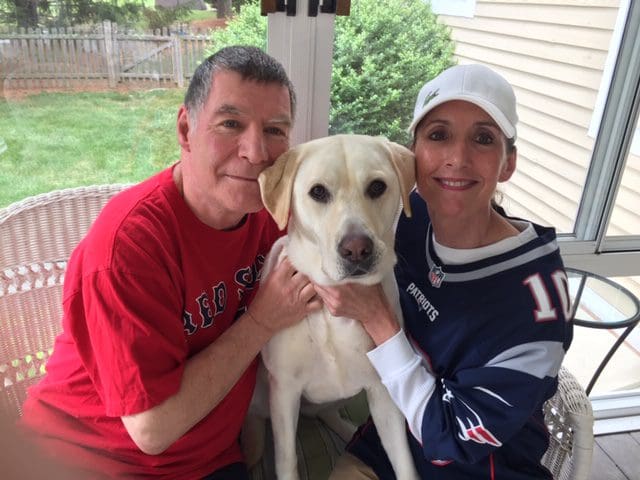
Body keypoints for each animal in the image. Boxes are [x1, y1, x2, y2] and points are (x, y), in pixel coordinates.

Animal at [248, 134, 418, 480]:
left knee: (325, 413)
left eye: (377, 187)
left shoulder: (383, 394)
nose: (357, 250)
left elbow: (404, 461)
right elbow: (287, 460)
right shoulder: (284, 392)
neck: (333, 305)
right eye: (318, 192)